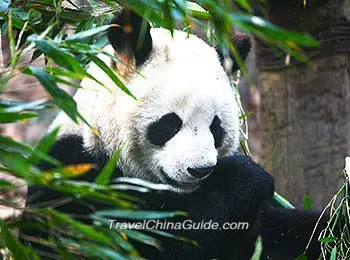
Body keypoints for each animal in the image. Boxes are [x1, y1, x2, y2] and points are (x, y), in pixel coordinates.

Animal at [21, 9, 328, 258]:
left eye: (216, 127)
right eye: (170, 124)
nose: (200, 170)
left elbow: (295, 232)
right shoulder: (75, 178)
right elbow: (142, 244)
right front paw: (246, 177)